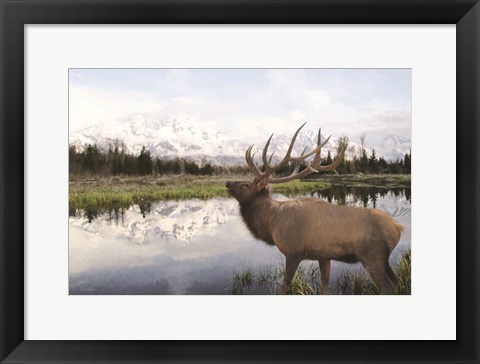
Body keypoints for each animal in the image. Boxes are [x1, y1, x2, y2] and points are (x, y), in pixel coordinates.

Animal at [225, 123, 402, 294]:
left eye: (246, 185)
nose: (227, 182)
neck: (271, 223)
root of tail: (398, 228)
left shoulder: (293, 252)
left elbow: (284, 287)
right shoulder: (323, 256)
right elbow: (325, 287)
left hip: (372, 256)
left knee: (390, 288)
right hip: (384, 260)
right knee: (398, 282)